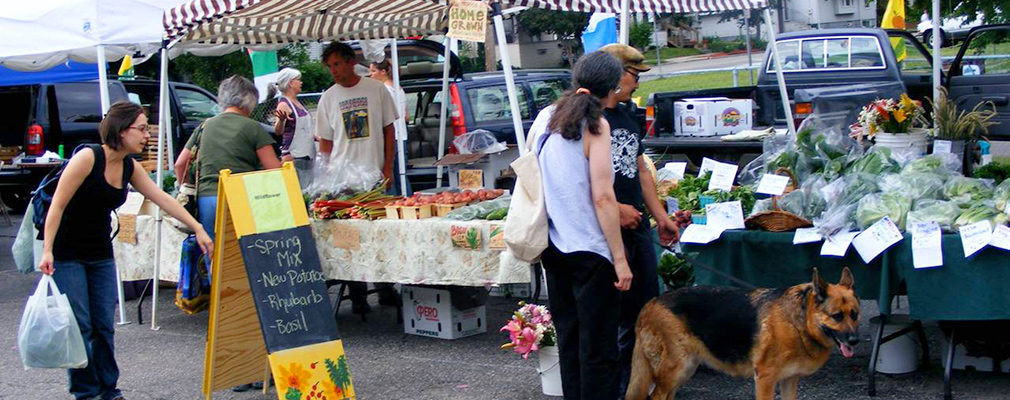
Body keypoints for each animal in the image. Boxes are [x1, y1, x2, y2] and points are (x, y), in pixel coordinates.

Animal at [622, 268, 860, 399]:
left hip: (684, 370)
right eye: (837, 316)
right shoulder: (765, 378)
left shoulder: (790, 379)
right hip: (677, 368)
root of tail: (650, 303)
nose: (855, 340)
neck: (799, 323)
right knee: (656, 395)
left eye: (854, 315)